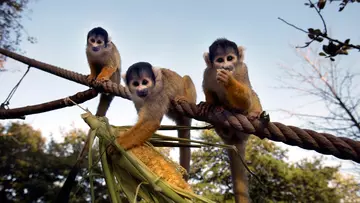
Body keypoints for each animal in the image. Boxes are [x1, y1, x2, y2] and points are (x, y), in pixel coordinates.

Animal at [54, 27, 120, 203]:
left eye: (99, 41)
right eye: (92, 41)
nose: (95, 46)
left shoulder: (110, 50)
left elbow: (111, 65)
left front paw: (101, 77)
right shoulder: (88, 51)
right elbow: (92, 63)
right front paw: (92, 75)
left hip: (116, 80)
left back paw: (105, 84)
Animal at [202, 38, 262, 203]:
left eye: (230, 58)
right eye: (220, 60)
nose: (226, 66)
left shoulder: (242, 69)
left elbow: (247, 99)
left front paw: (228, 80)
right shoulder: (208, 72)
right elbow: (207, 88)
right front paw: (209, 104)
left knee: (251, 95)